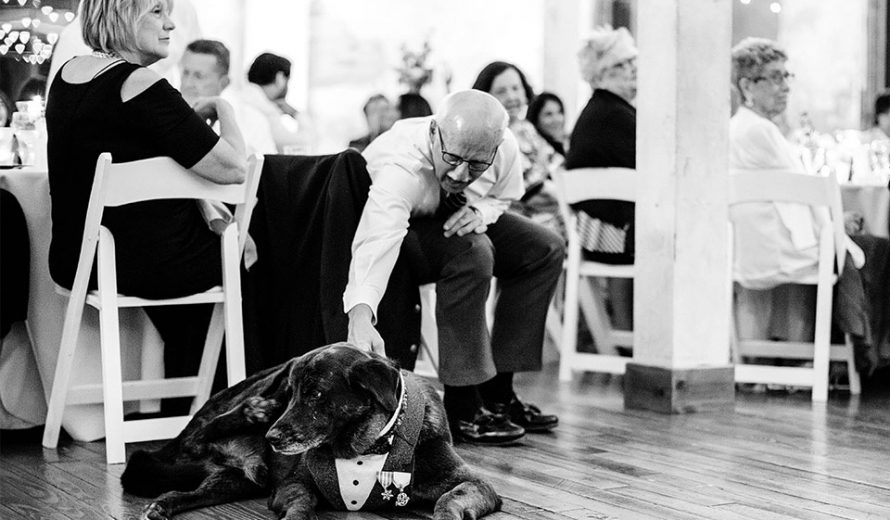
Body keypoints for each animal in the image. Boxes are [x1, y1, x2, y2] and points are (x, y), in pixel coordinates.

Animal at [122, 342, 501, 520]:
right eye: (292, 394)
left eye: (315, 394)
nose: (272, 439)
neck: (367, 446)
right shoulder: (291, 484)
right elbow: (303, 499)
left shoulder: (477, 484)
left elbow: (450, 497)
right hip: (257, 390)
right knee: (206, 430)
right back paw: (254, 411)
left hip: (237, 481)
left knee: (183, 491)